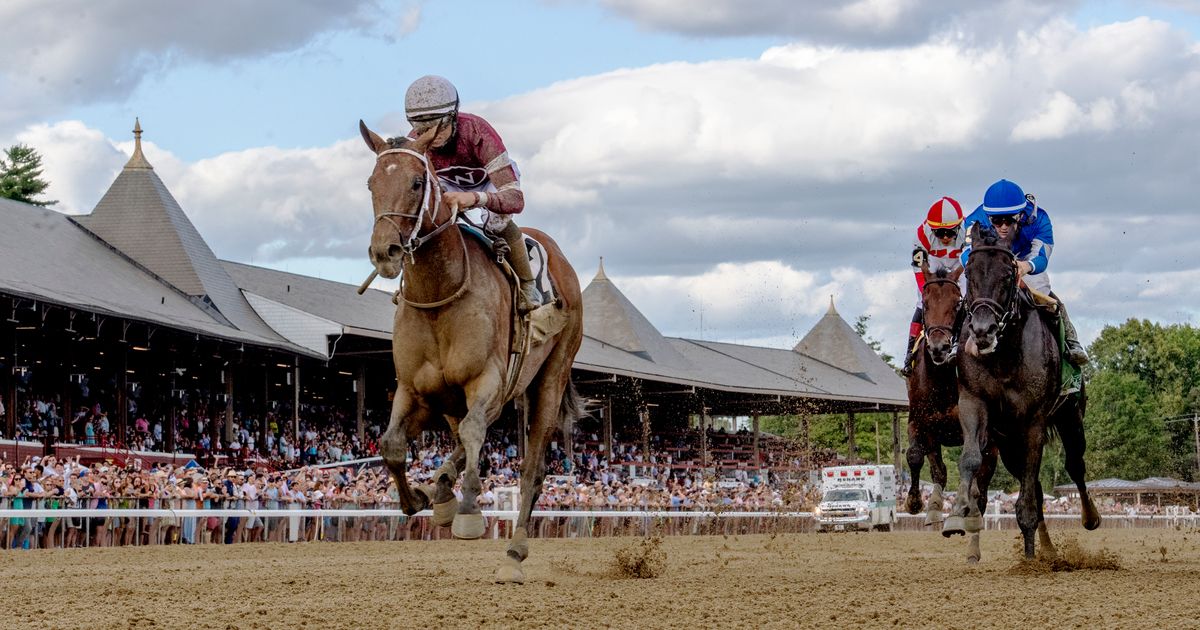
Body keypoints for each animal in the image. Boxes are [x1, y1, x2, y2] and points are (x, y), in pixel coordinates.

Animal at [357, 120, 583, 583]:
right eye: (371, 183)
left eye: (417, 182)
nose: (385, 252)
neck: (439, 294)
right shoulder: (414, 389)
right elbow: (391, 445)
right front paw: (420, 497)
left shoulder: (488, 379)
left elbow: (475, 433)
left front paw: (467, 509)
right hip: (456, 398)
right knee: (461, 438)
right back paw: (440, 488)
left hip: (548, 378)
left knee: (531, 469)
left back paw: (513, 551)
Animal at [945, 223, 1099, 556]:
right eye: (970, 275)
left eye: (1007, 275)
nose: (982, 331)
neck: (1003, 357)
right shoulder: (973, 401)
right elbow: (970, 458)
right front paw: (957, 512)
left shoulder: (1034, 420)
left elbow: (1028, 497)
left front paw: (1030, 558)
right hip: (1008, 442)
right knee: (1038, 488)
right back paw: (1045, 549)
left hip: (1070, 418)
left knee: (1074, 464)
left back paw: (1088, 518)